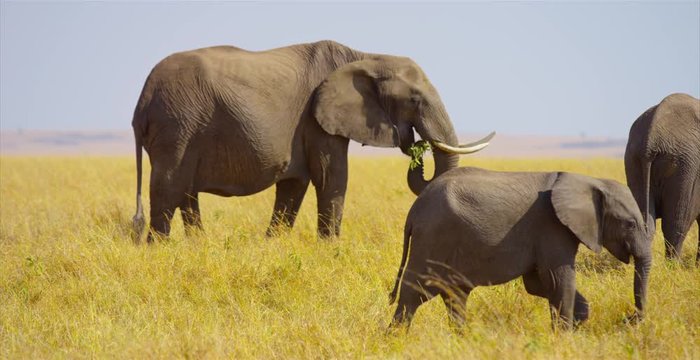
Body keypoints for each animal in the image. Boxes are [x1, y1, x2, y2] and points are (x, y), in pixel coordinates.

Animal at [130, 40, 492, 242]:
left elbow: (294, 186)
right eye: (415, 100)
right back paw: (160, 249)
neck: (366, 56)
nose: (415, 146)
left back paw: (197, 246)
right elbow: (332, 176)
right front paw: (331, 250)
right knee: (168, 188)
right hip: (178, 124)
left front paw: (272, 246)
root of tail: (142, 99)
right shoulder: (318, 120)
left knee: (185, 193)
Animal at [388, 167, 652, 330]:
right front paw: (564, 337)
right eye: (629, 224)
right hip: (432, 238)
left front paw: (579, 320)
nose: (628, 318)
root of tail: (414, 210)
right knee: (414, 293)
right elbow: (558, 280)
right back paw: (396, 339)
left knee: (454, 295)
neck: (588, 180)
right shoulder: (552, 228)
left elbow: (538, 284)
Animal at [628, 93, 700, 262]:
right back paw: (674, 266)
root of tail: (652, 137)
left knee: (646, 223)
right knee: (677, 224)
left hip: (633, 159)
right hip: (685, 165)